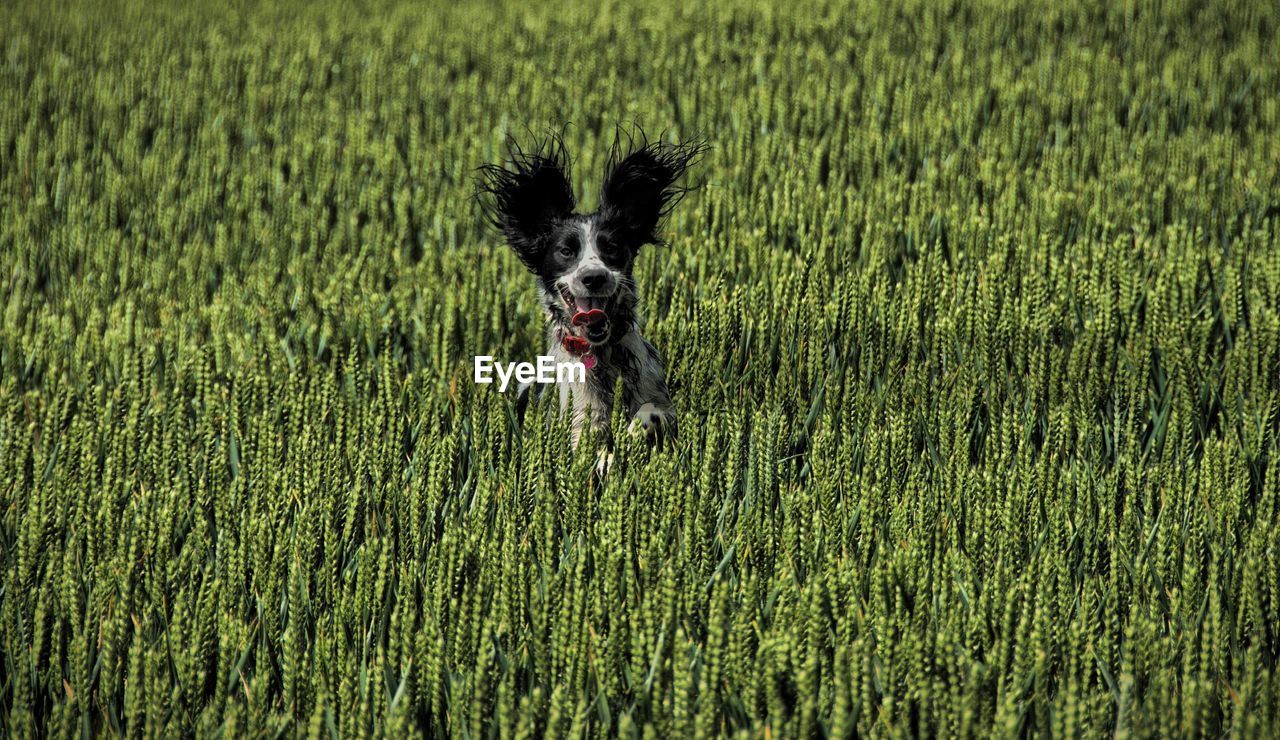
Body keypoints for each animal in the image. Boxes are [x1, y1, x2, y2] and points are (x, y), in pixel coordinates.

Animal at [481, 130, 706, 445]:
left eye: (611, 248)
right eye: (566, 251)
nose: (594, 277)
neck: (602, 356)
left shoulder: (658, 395)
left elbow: (656, 411)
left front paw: (638, 426)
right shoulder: (579, 426)